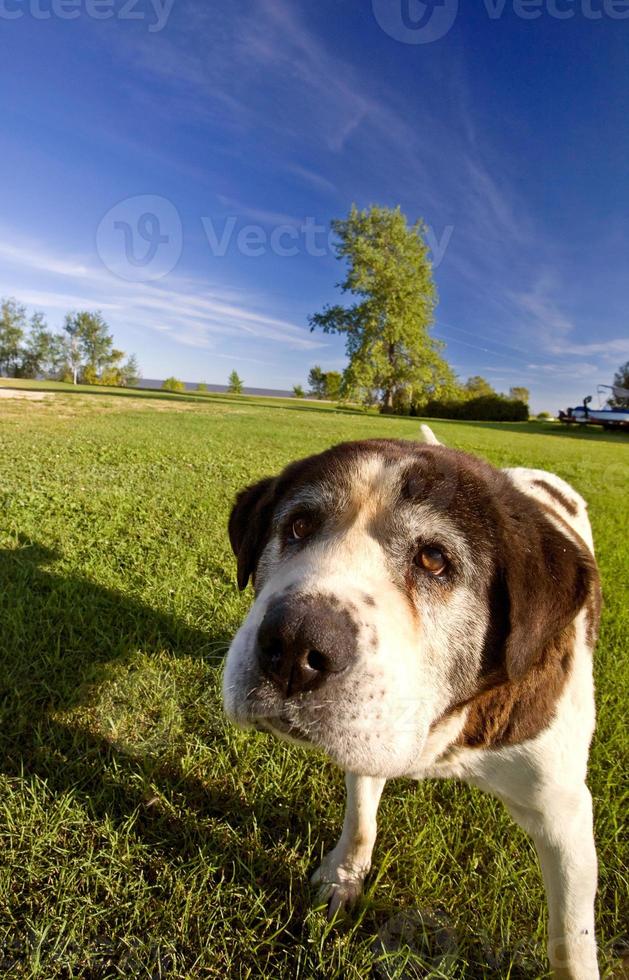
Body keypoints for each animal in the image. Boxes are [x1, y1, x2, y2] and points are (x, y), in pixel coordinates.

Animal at [223, 428, 600, 980]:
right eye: (298, 525)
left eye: (434, 560)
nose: (293, 646)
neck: (444, 725)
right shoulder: (370, 724)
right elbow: (361, 814)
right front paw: (343, 876)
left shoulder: (563, 812)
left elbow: (571, 940)